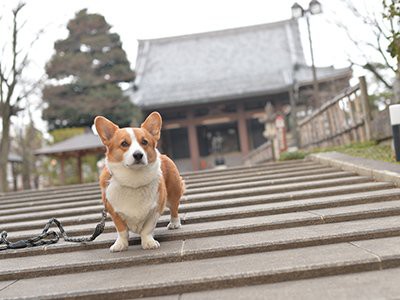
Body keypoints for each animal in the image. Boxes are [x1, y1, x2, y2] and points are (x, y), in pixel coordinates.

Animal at [94, 111, 184, 252]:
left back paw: (174, 223)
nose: (138, 155)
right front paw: (120, 245)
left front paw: (148, 243)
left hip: (174, 193)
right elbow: (122, 230)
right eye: (124, 144)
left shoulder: (155, 209)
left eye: (144, 142)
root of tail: (163, 155)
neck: (133, 180)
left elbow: (147, 229)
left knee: (174, 209)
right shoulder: (114, 212)